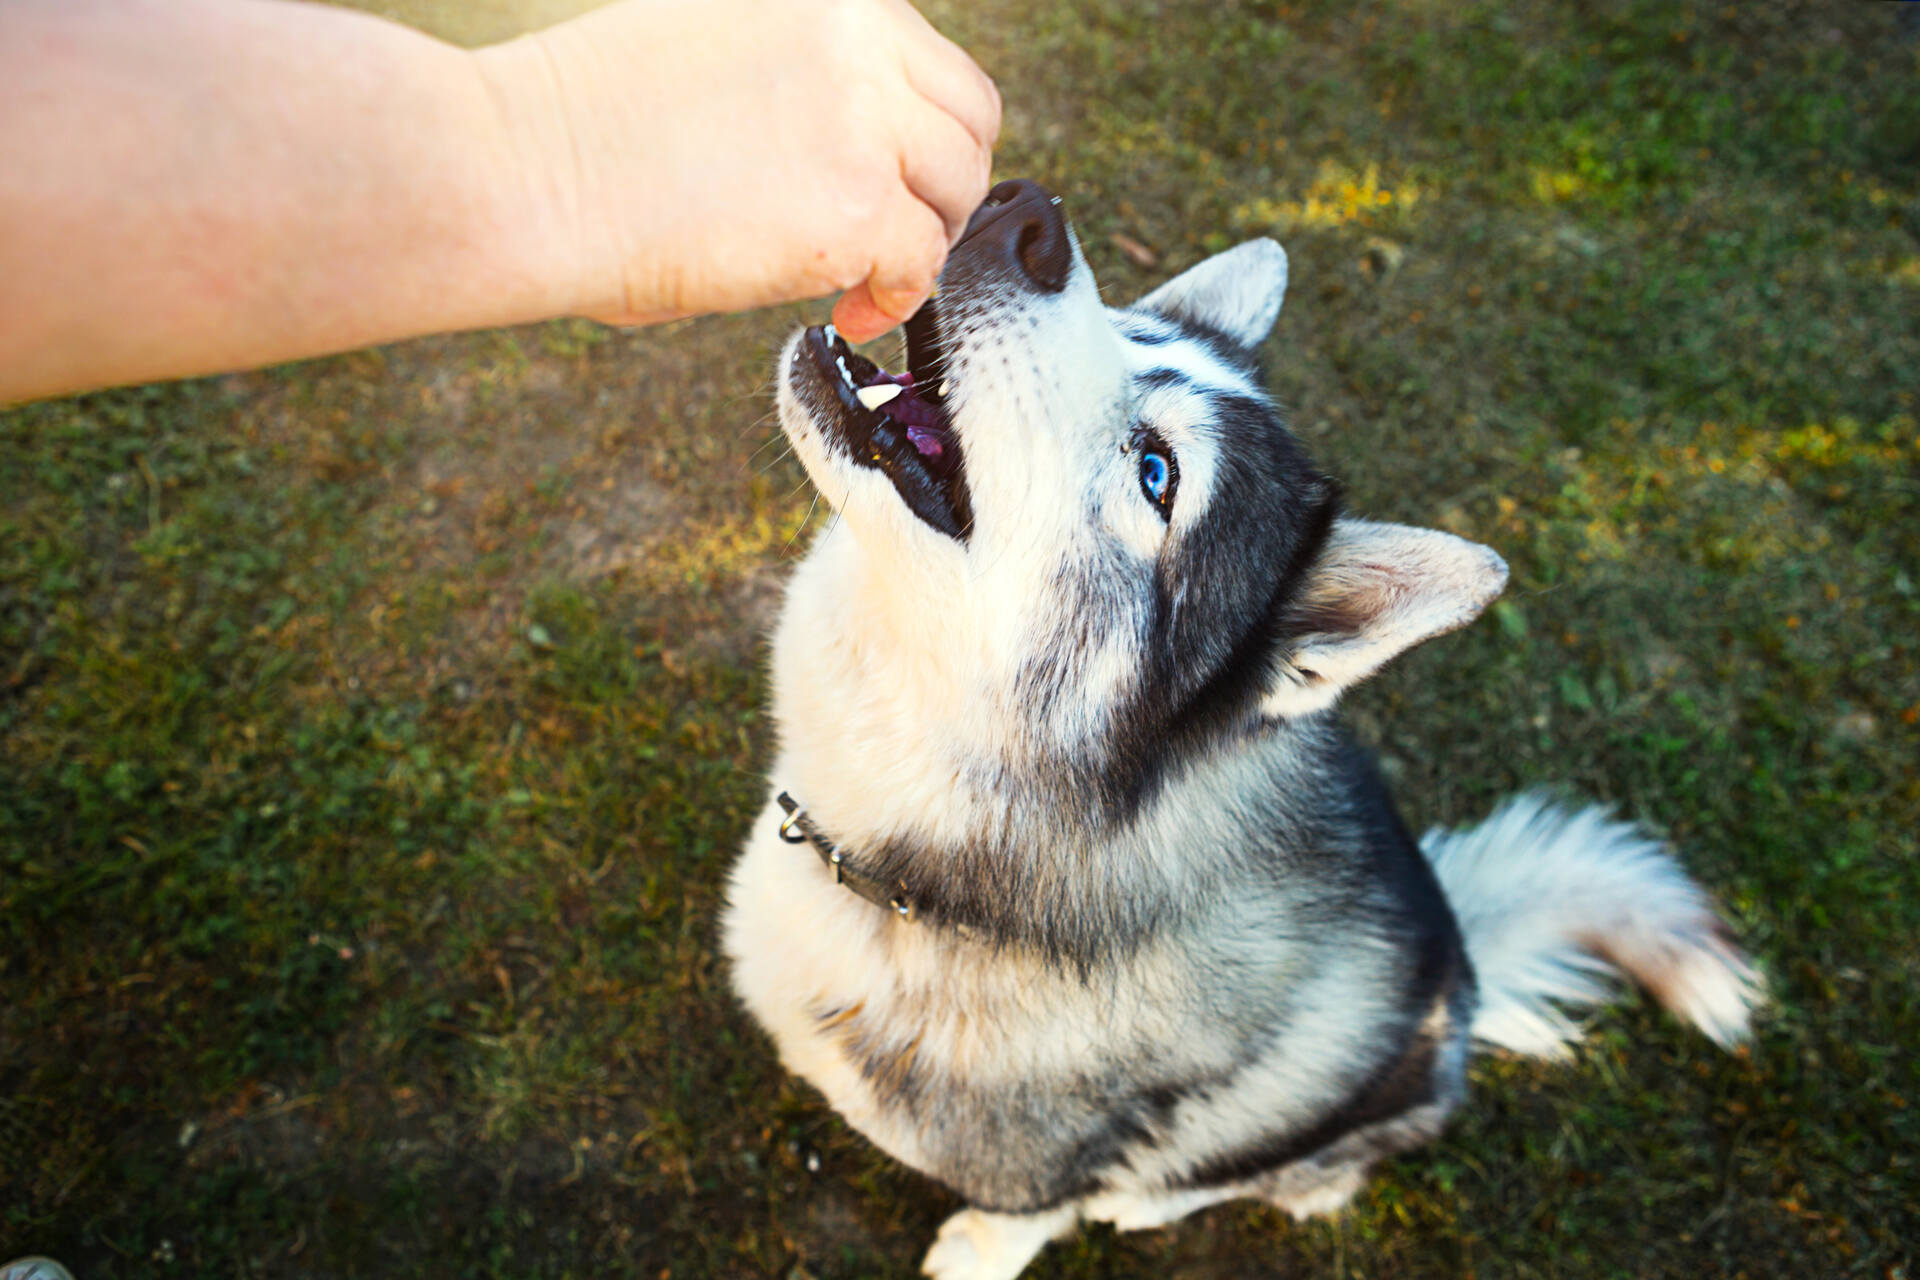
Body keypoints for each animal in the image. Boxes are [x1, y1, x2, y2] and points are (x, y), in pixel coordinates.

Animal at [721, 182, 1766, 1280]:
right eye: (1131, 328)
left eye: (1157, 473)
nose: (1028, 213)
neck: (918, 884)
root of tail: (1466, 959)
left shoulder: (1048, 1173)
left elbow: (1026, 1213)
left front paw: (979, 1248)